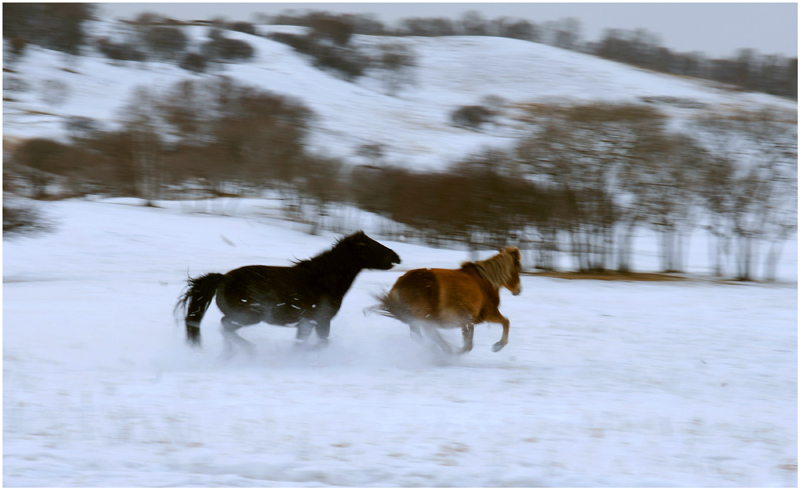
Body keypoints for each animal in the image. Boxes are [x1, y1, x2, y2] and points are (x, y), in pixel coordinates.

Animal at [176, 232, 400, 354]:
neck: (323, 281)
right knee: (226, 327)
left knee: (226, 330)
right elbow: (316, 344)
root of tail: (222, 279)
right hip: (249, 315)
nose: (396, 257)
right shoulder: (319, 320)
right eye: (366, 245)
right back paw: (249, 351)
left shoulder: (310, 322)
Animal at [376, 247, 524, 354]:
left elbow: (468, 342)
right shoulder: (489, 313)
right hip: (425, 318)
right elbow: (506, 322)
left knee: (421, 336)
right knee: (431, 334)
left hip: (416, 321)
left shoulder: (467, 321)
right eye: (517, 268)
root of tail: (401, 283)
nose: (518, 290)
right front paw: (498, 345)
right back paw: (446, 351)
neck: (484, 282)